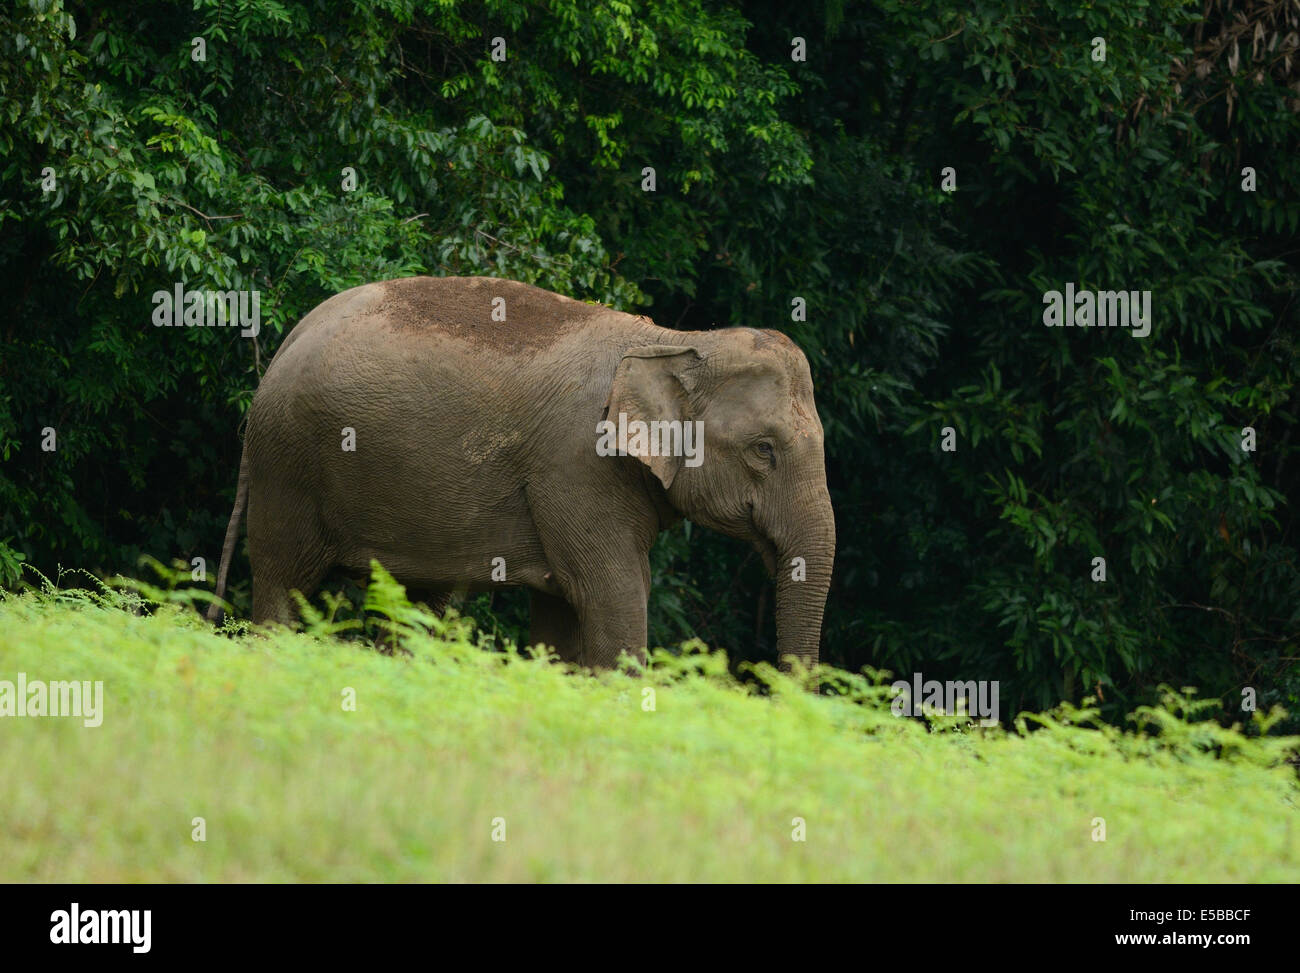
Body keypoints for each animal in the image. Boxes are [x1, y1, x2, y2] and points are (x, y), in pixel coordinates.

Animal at [207, 276, 835, 670]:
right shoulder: (578, 466)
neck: (675, 343)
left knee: (417, 605)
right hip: (287, 465)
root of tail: (284, 344)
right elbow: (616, 594)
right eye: (763, 450)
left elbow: (562, 615)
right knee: (283, 584)